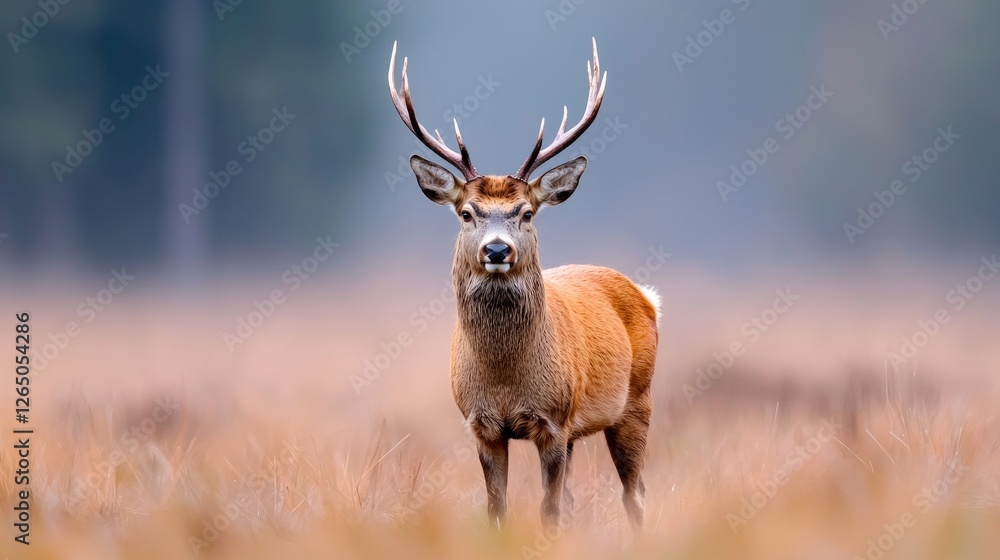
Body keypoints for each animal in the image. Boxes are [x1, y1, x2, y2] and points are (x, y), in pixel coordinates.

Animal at [388, 38, 660, 532]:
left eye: (527, 213)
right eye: (467, 213)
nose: (497, 250)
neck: (505, 380)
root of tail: (646, 295)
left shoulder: (553, 419)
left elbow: (548, 509)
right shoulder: (481, 425)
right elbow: (498, 508)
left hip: (636, 402)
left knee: (635, 494)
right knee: (580, 495)